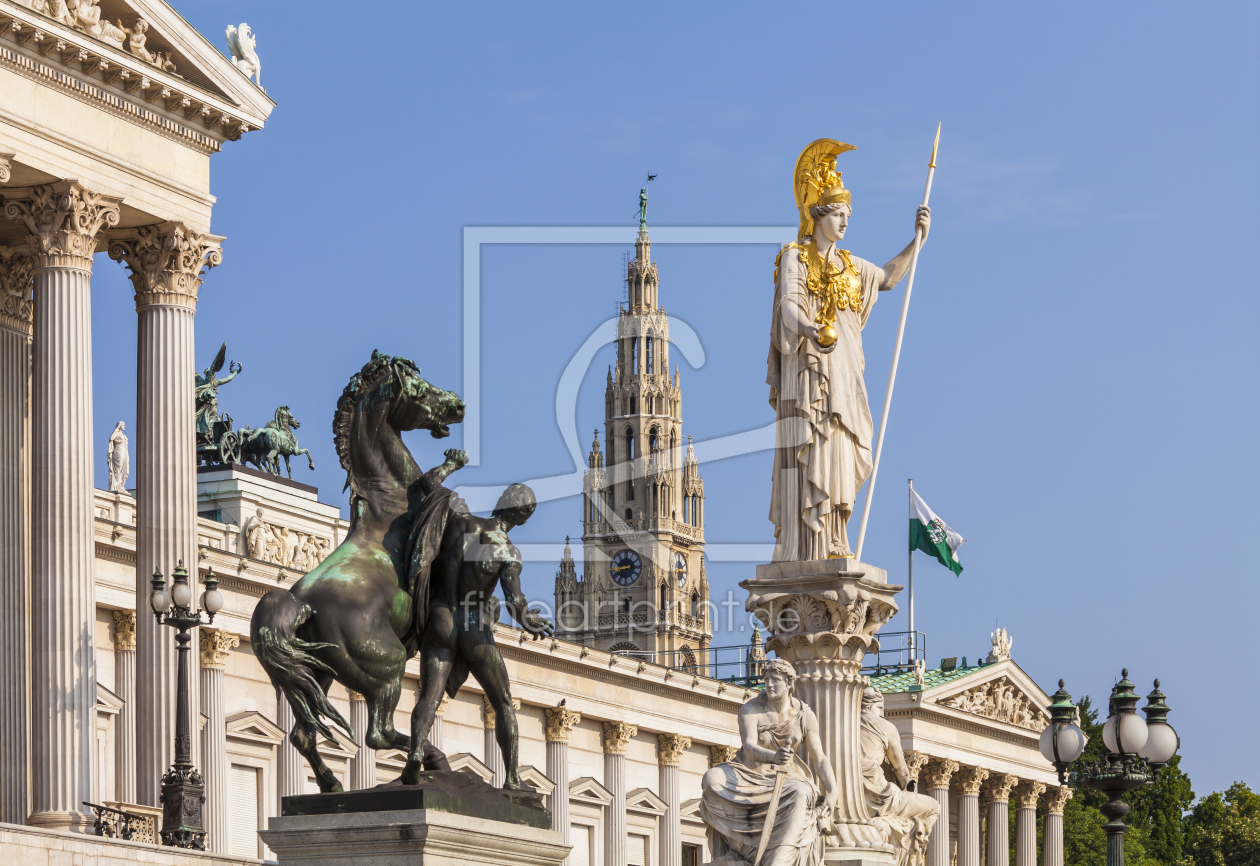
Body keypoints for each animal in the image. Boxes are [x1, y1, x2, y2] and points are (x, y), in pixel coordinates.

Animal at [248, 352, 466, 791]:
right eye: (420, 388)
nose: (458, 405)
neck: (389, 506)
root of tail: (298, 602)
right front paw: (452, 462)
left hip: (318, 671)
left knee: (302, 733)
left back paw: (332, 783)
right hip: (387, 666)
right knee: (378, 734)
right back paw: (429, 762)